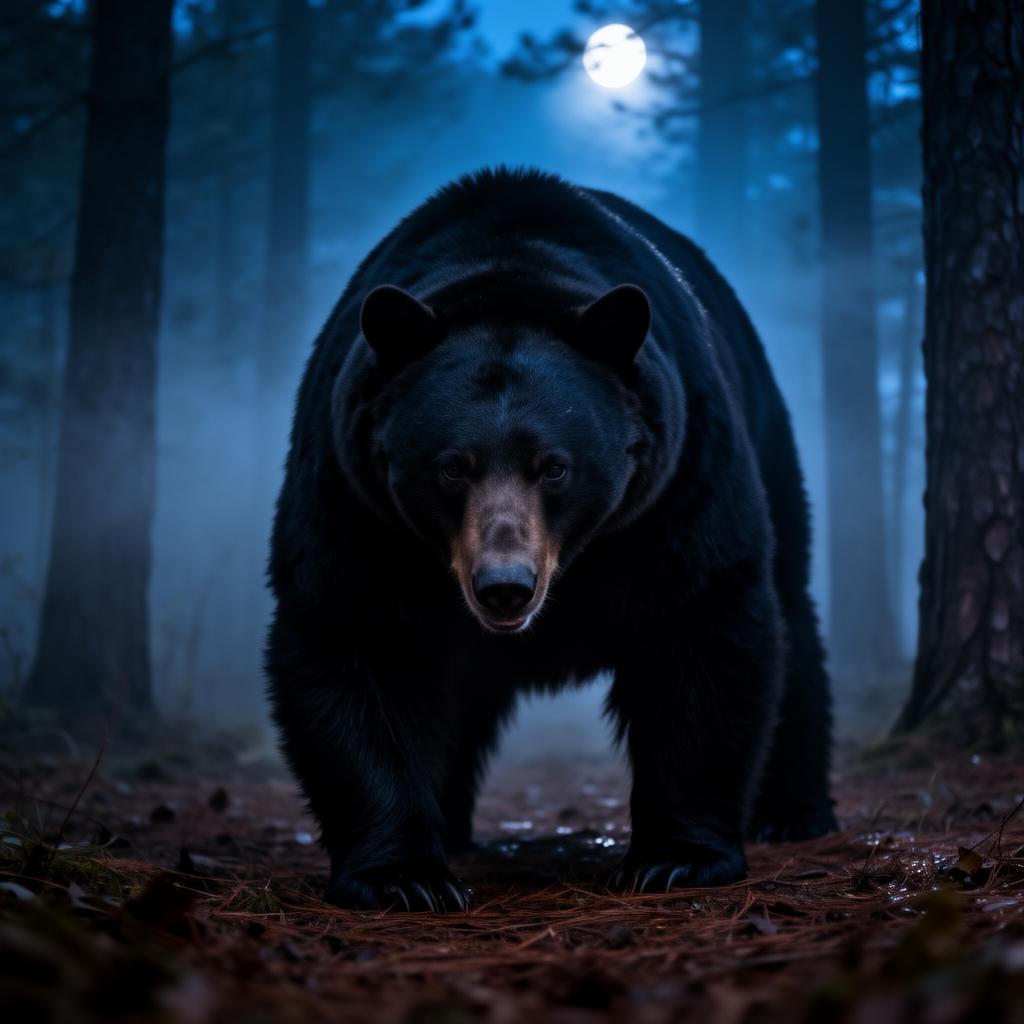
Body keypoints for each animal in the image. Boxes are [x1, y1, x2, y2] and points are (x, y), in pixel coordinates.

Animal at [266, 168, 838, 912]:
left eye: (555, 466)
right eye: (452, 466)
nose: (505, 587)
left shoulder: (678, 483)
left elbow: (701, 623)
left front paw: (675, 859)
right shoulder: (354, 498)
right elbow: (353, 638)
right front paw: (404, 875)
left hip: (765, 430)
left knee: (792, 610)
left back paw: (794, 811)